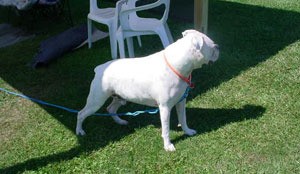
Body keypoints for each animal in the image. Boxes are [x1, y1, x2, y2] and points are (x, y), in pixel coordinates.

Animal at [76, 29, 219, 151]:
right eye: (212, 46)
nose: (218, 47)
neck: (177, 64)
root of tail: (99, 68)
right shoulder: (165, 108)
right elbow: (166, 130)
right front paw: (168, 146)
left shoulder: (181, 102)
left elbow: (183, 119)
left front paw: (187, 131)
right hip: (96, 101)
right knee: (81, 114)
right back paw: (79, 131)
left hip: (119, 97)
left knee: (111, 109)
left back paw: (120, 121)